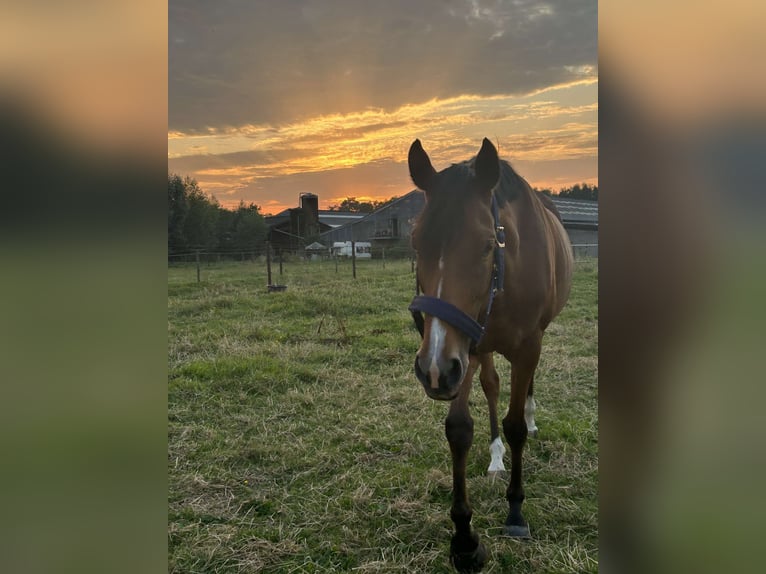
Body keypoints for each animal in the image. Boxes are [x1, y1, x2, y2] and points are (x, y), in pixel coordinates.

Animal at [412, 138, 572, 572]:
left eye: (487, 244)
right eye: (415, 242)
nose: (432, 371)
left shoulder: (528, 345)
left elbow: (515, 424)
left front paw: (515, 512)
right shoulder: (463, 348)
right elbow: (459, 429)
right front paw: (465, 538)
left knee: (523, 391)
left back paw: (530, 421)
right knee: (491, 385)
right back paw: (496, 456)